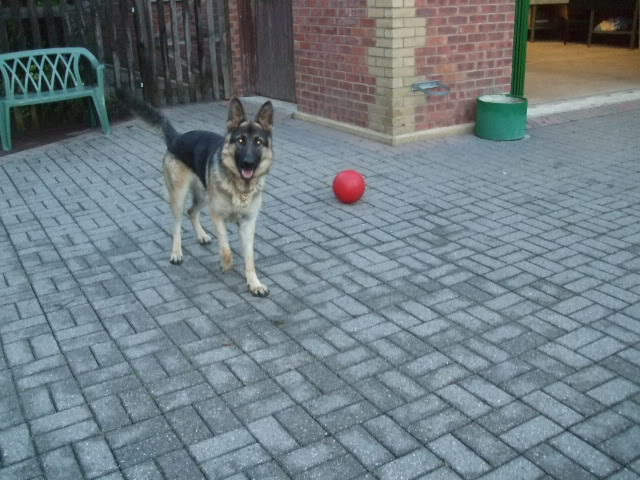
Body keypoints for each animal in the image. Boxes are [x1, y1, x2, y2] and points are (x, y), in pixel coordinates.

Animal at [121, 92, 274, 296]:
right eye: (240, 141)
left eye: (258, 142)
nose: (248, 163)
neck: (239, 187)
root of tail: (176, 138)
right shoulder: (217, 216)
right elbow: (226, 249)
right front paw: (225, 265)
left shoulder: (248, 224)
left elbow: (250, 258)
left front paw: (254, 283)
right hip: (179, 197)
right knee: (176, 225)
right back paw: (176, 253)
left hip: (203, 196)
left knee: (192, 211)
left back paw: (201, 236)